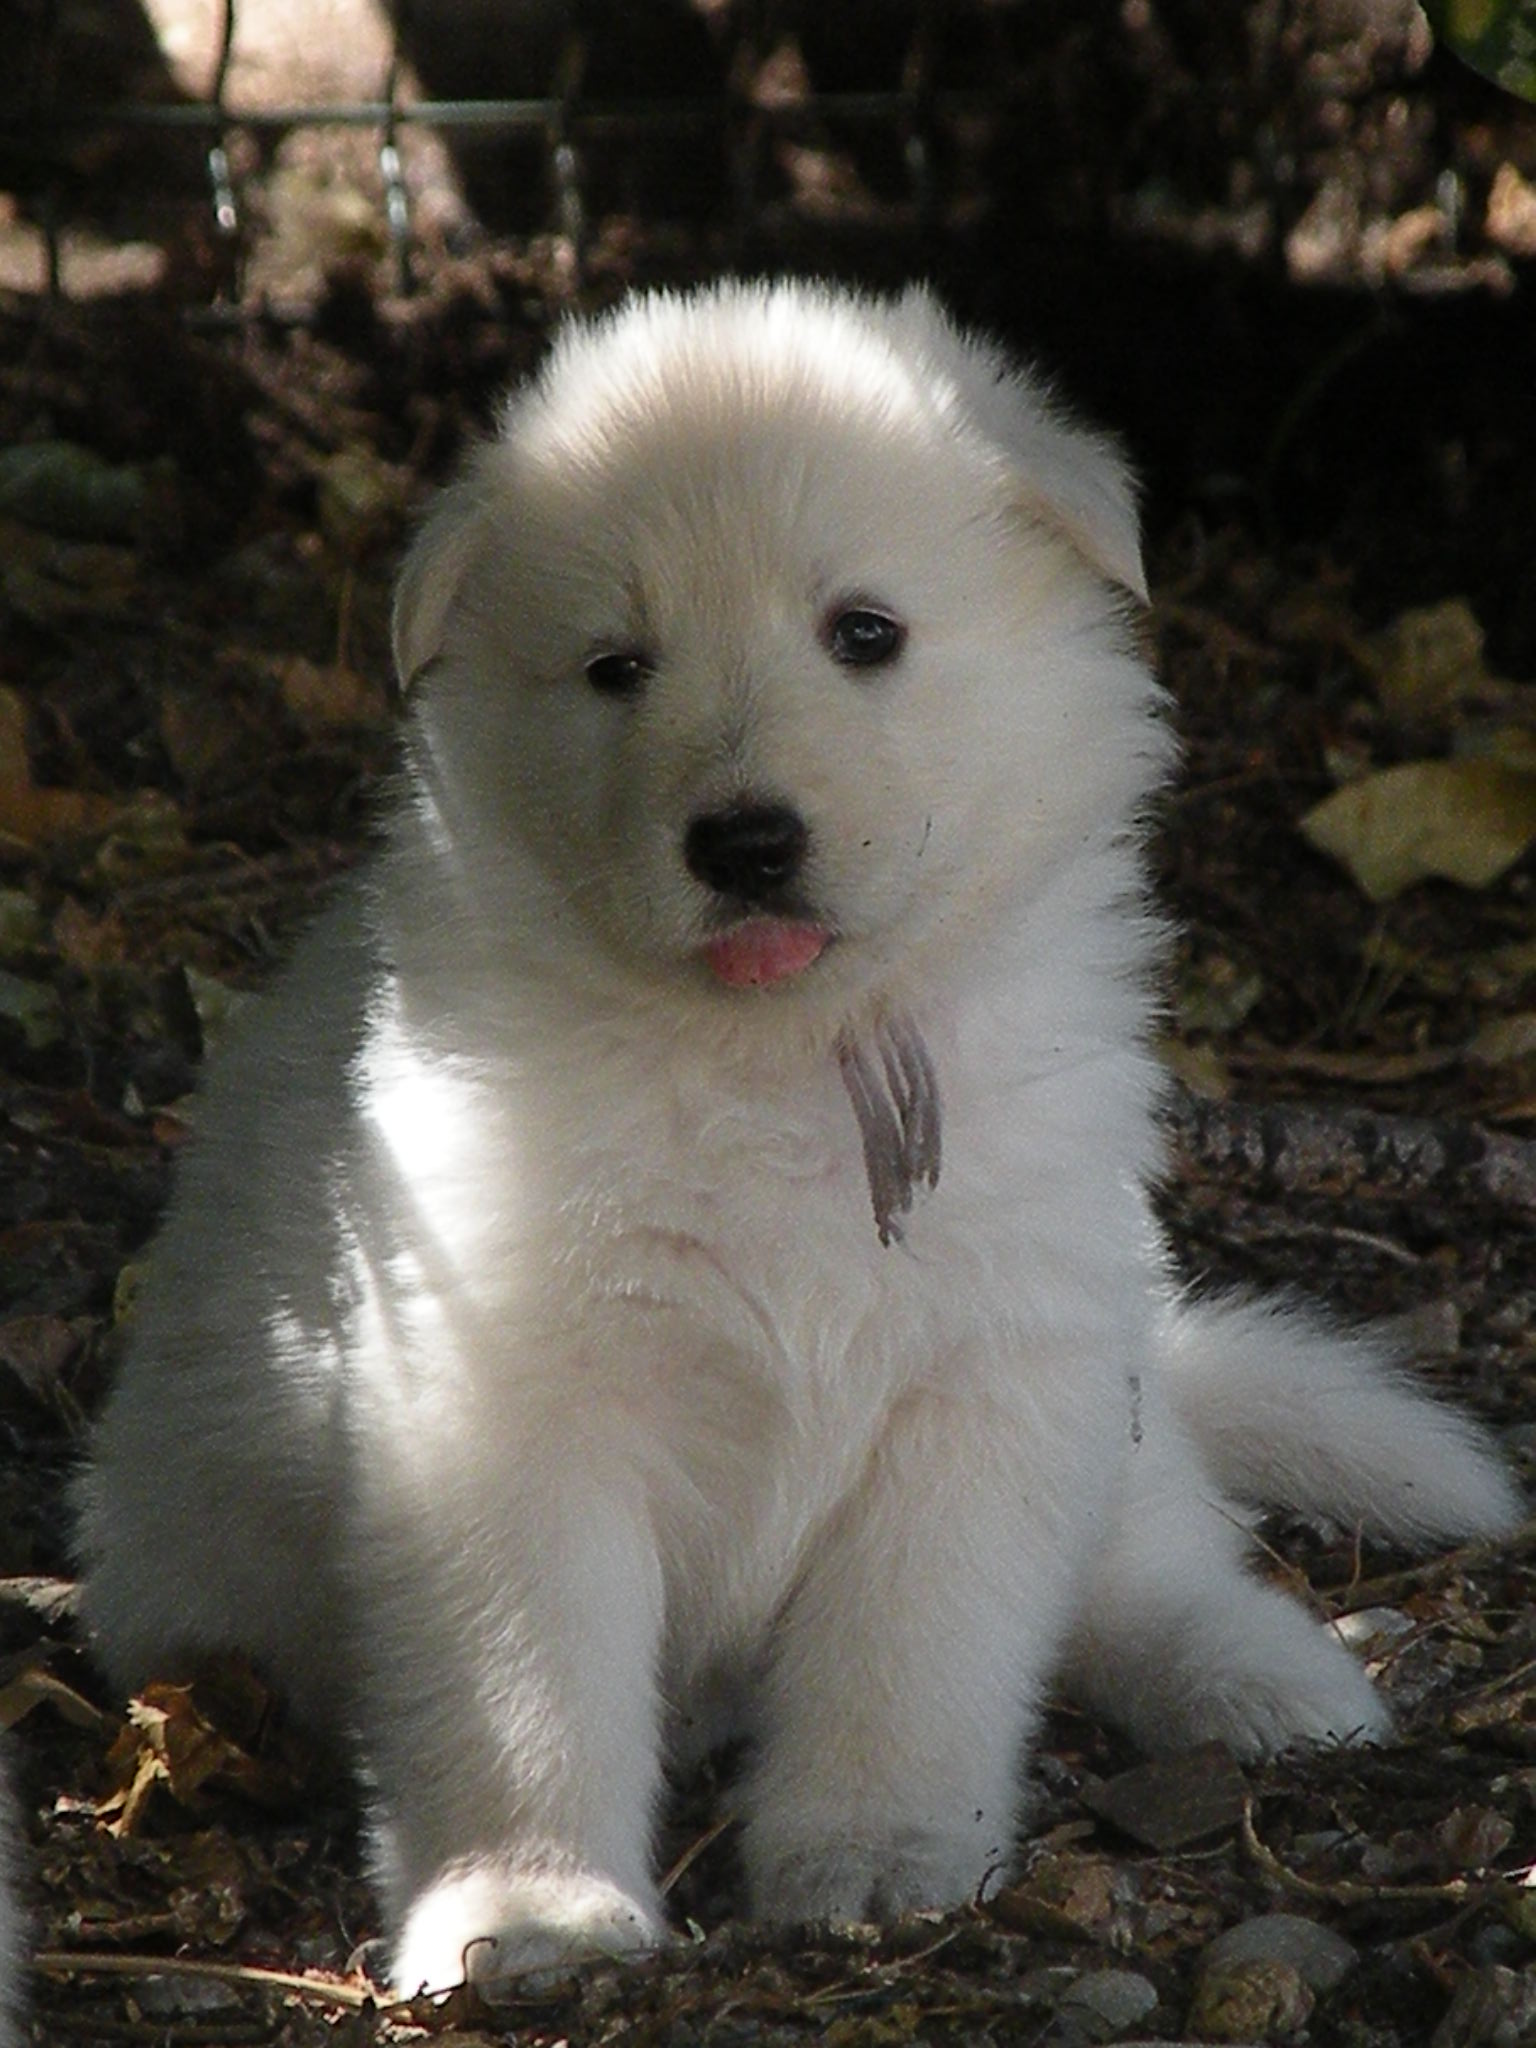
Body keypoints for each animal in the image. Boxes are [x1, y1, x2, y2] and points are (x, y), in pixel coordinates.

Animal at [75, 280, 1531, 1990]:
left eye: (866, 633)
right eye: (615, 666)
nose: (747, 841)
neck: (780, 1059)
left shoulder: (983, 1384)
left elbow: (915, 1654)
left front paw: (881, 1855)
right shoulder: (506, 1415)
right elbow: (523, 1691)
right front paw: (530, 1905)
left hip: (1104, 1381)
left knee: (1155, 1562)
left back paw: (1273, 1680)